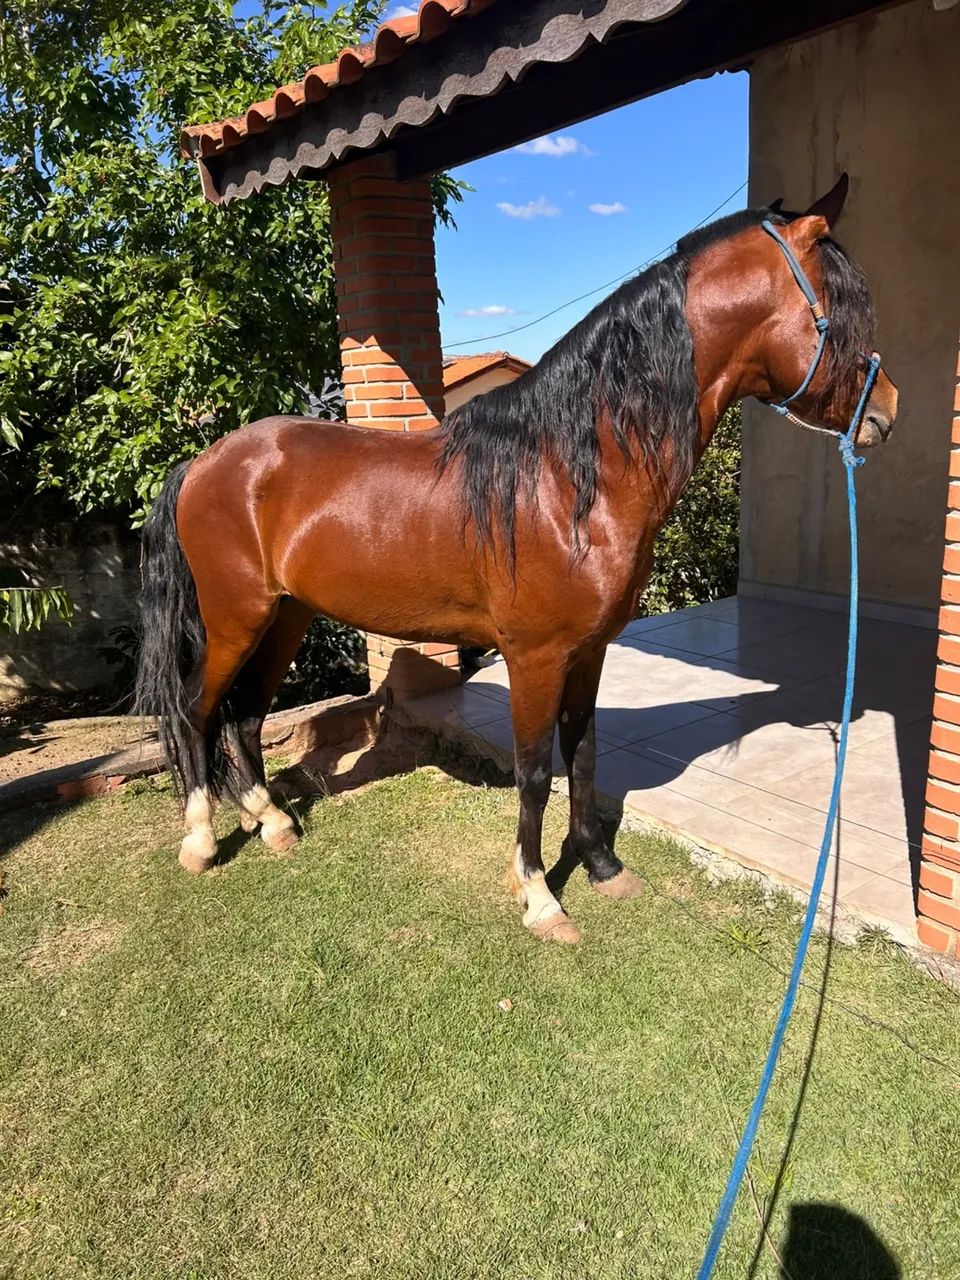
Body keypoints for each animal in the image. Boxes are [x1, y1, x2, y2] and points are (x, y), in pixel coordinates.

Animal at [136, 175, 898, 944]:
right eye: (841, 311)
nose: (886, 414)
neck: (569, 478)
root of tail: (204, 462)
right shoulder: (535, 656)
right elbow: (535, 772)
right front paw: (539, 896)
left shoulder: (589, 650)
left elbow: (584, 752)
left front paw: (600, 865)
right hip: (236, 617)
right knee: (198, 709)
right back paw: (202, 839)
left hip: (285, 617)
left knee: (245, 715)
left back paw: (272, 822)